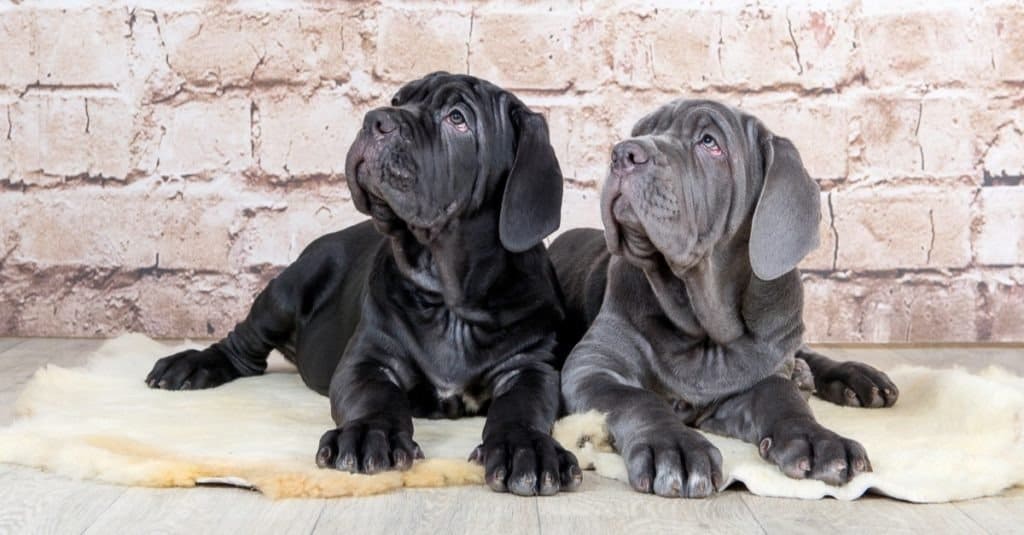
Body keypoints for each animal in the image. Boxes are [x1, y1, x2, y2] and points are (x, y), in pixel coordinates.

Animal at [142, 71, 585, 496]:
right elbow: (376, 398)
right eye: (398, 100)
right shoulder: (368, 360)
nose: (376, 119)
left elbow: (521, 409)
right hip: (286, 291)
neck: (449, 298)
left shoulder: (529, 368)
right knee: (243, 346)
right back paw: (191, 365)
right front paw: (370, 435)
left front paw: (526, 449)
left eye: (458, 118)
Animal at [552, 98, 897, 496]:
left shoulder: (756, 378)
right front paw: (673, 447)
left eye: (709, 142)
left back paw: (853, 377)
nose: (624, 152)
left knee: (802, 353)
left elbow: (780, 396)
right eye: (642, 131)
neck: (703, 325)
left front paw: (818, 439)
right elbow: (637, 399)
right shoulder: (592, 365)